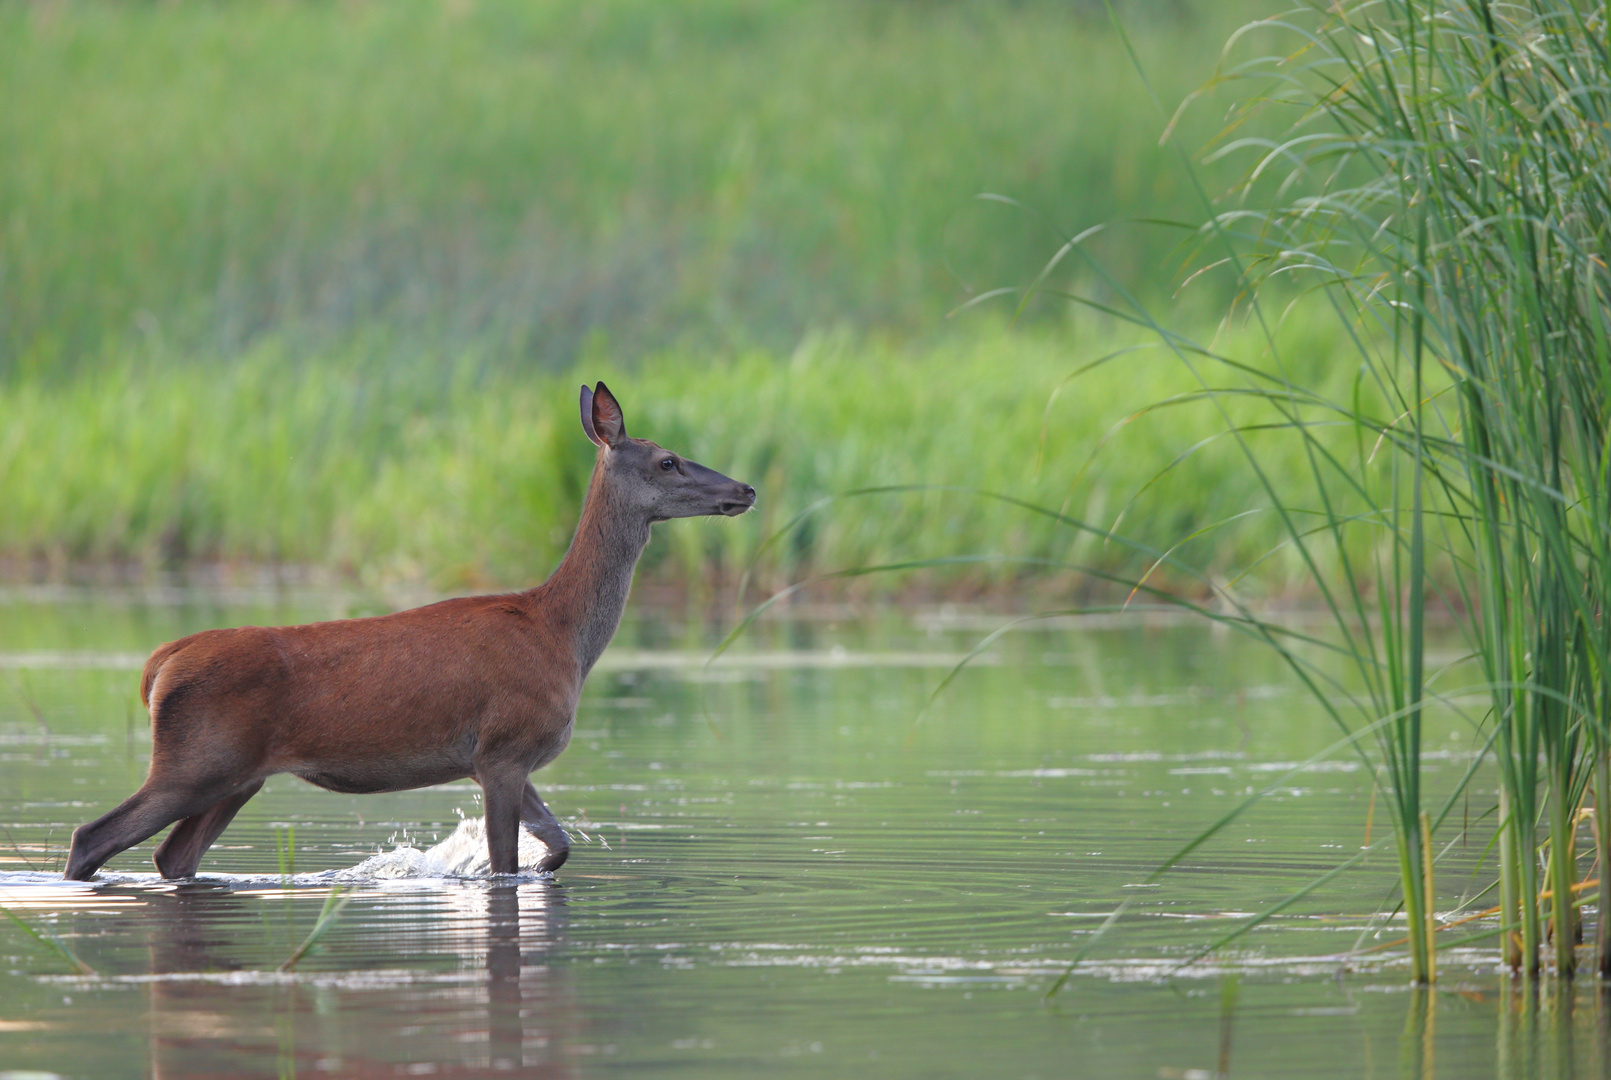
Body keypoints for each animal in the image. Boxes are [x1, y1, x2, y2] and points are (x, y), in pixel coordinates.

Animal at [66, 385, 757, 883]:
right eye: (668, 460)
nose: (745, 488)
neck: (564, 636)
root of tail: (161, 662)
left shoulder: (495, 757)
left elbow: (557, 846)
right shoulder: (504, 747)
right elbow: (506, 866)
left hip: (236, 777)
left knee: (172, 857)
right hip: (194, 761)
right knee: (92, 835)